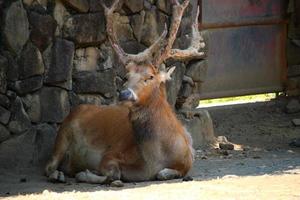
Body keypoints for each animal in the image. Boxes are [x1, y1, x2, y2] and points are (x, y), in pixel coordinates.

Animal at [44, 0, 205, 184]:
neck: (153, 160)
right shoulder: (111, 154)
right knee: (49, 165)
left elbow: (166, 173)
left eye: (150, 77)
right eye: (126, 76)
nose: (125, 94)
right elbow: (112, 172)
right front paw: (85, 173)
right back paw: (58, 175)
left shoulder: (187, 161)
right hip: (63, 133)